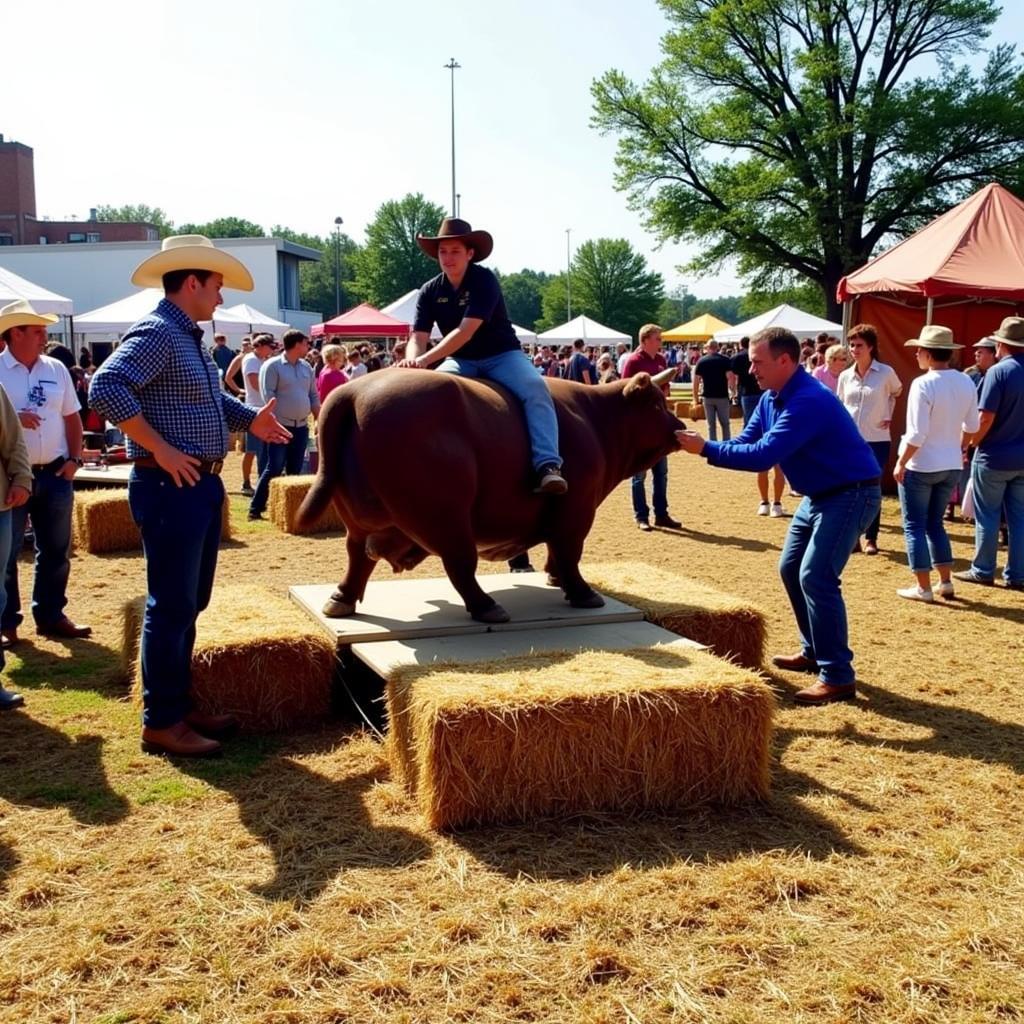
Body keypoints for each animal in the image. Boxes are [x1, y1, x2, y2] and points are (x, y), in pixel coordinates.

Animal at [296, 368, 679, 622]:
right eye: (657, 406)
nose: (679, 428)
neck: (595, 418)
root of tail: (355, 392)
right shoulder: (577, 507)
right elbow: (569, 551)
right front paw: (582, 592)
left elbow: (558, 552)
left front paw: (555, 578)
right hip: (446, 516)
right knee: (460, 565)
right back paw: (486, 606)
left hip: (359, 521)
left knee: (357, 557)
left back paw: (341, 599)